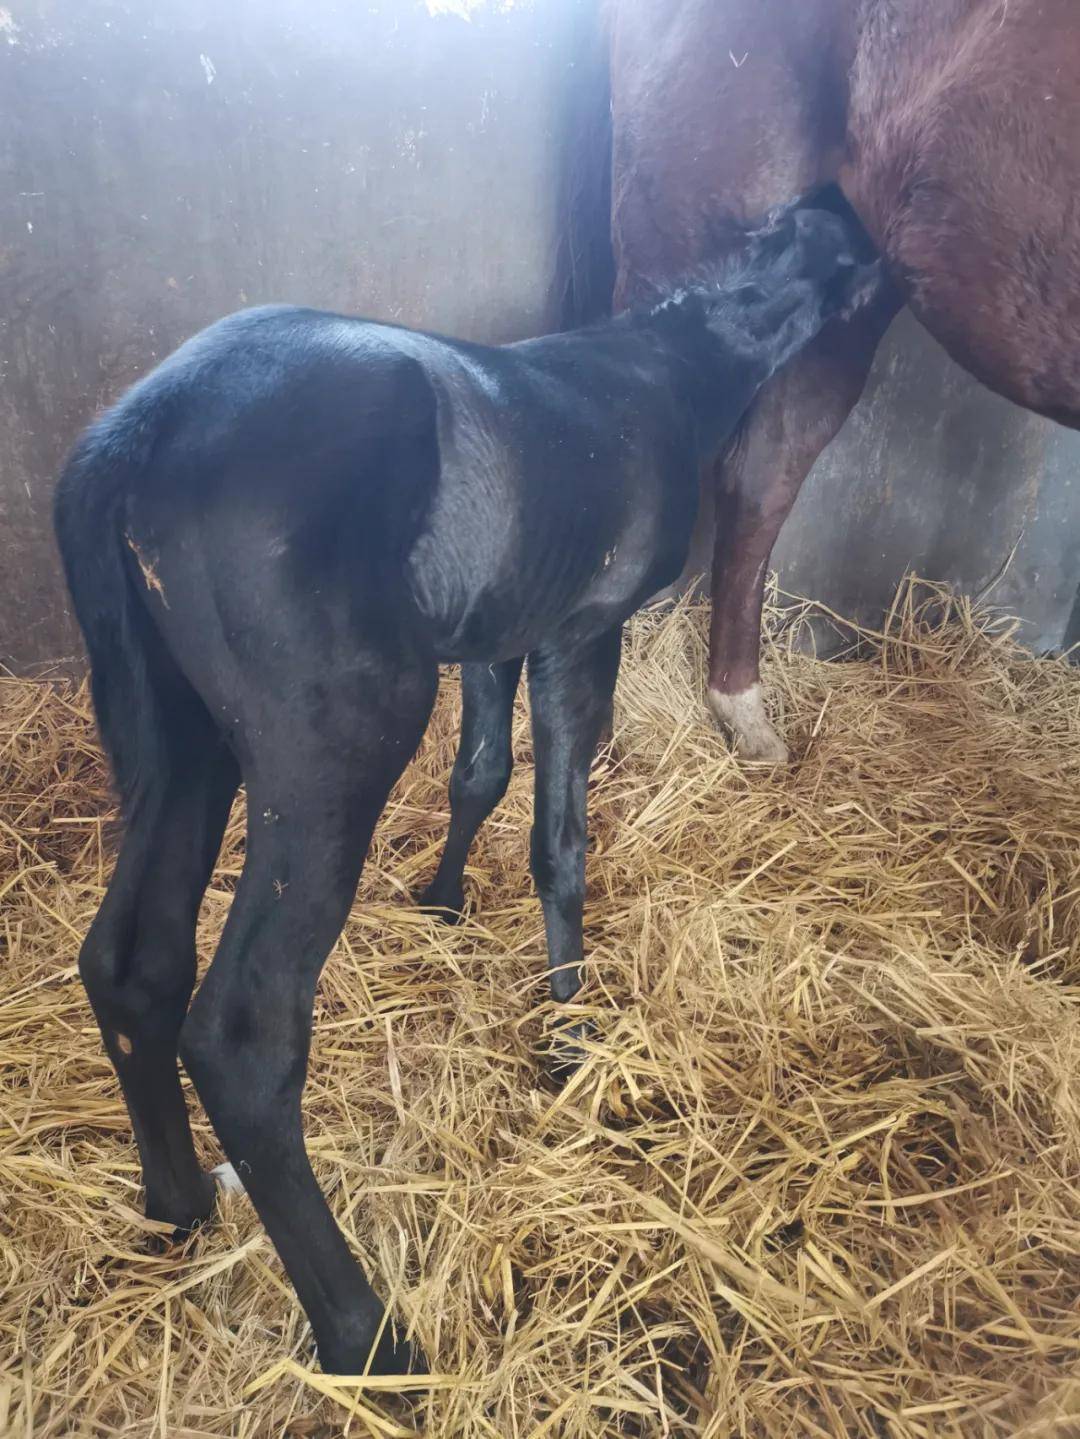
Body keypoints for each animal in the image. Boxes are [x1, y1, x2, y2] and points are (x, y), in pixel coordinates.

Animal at [54, 201, 876, 1374]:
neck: (662, 371)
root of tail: (137, 434)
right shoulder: (579, 634)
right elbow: (560, 840)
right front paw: (572, 1035)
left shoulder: (497, 631)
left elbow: (479, 773)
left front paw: (442, 901)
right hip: (333, 745)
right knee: (244, 1033)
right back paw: (367, 1337)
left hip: (183, 738)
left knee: (134, 967)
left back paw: (179, 1201)